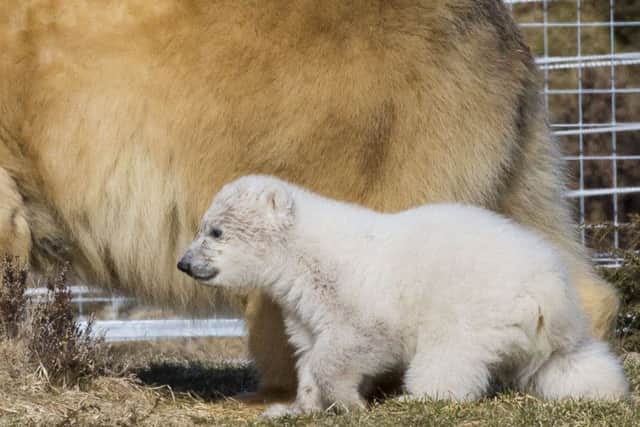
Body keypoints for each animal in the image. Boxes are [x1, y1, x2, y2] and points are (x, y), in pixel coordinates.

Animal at [178, 175, 629, 416]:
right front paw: (294, 408)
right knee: (569, 363)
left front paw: (349, 402)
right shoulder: (305, 307)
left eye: (215, 231)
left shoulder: (355, 290)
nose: (184, 263)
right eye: (204, 226)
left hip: (473, 307)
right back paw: (603, 388)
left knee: (448, 356)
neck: (306, 253)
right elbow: (308, 349)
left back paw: (425, 393)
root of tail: (548, 290)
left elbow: (360, 340)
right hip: (551, 332)